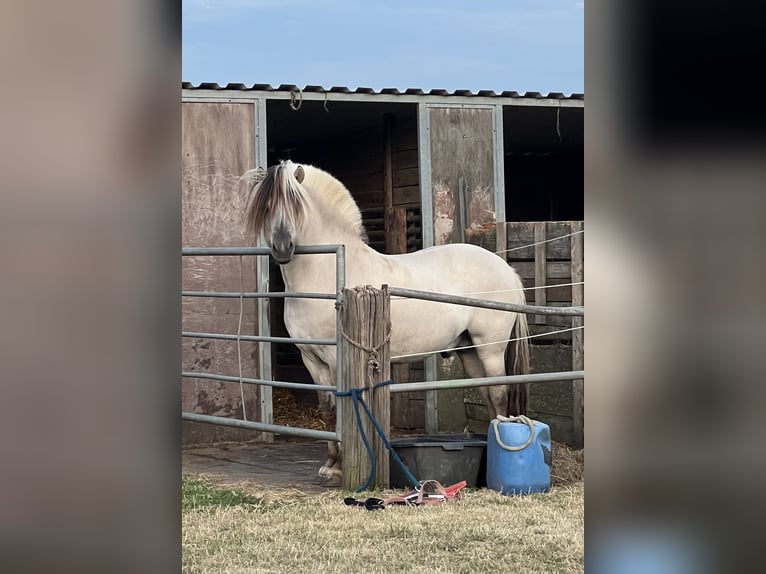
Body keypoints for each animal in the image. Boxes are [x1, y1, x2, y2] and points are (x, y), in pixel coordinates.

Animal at [244, 160, 530, 482]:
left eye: (297, 205)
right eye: (267, 206)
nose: (282, 248)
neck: (329, 270)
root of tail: (505, 268)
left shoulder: (337, 356)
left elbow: (343, 408)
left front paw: (341, 467)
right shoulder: (312, 359)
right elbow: (328, 409)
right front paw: (330, 464)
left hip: (490, 347)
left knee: (499, 393)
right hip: (469, 349)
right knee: (489, 393)